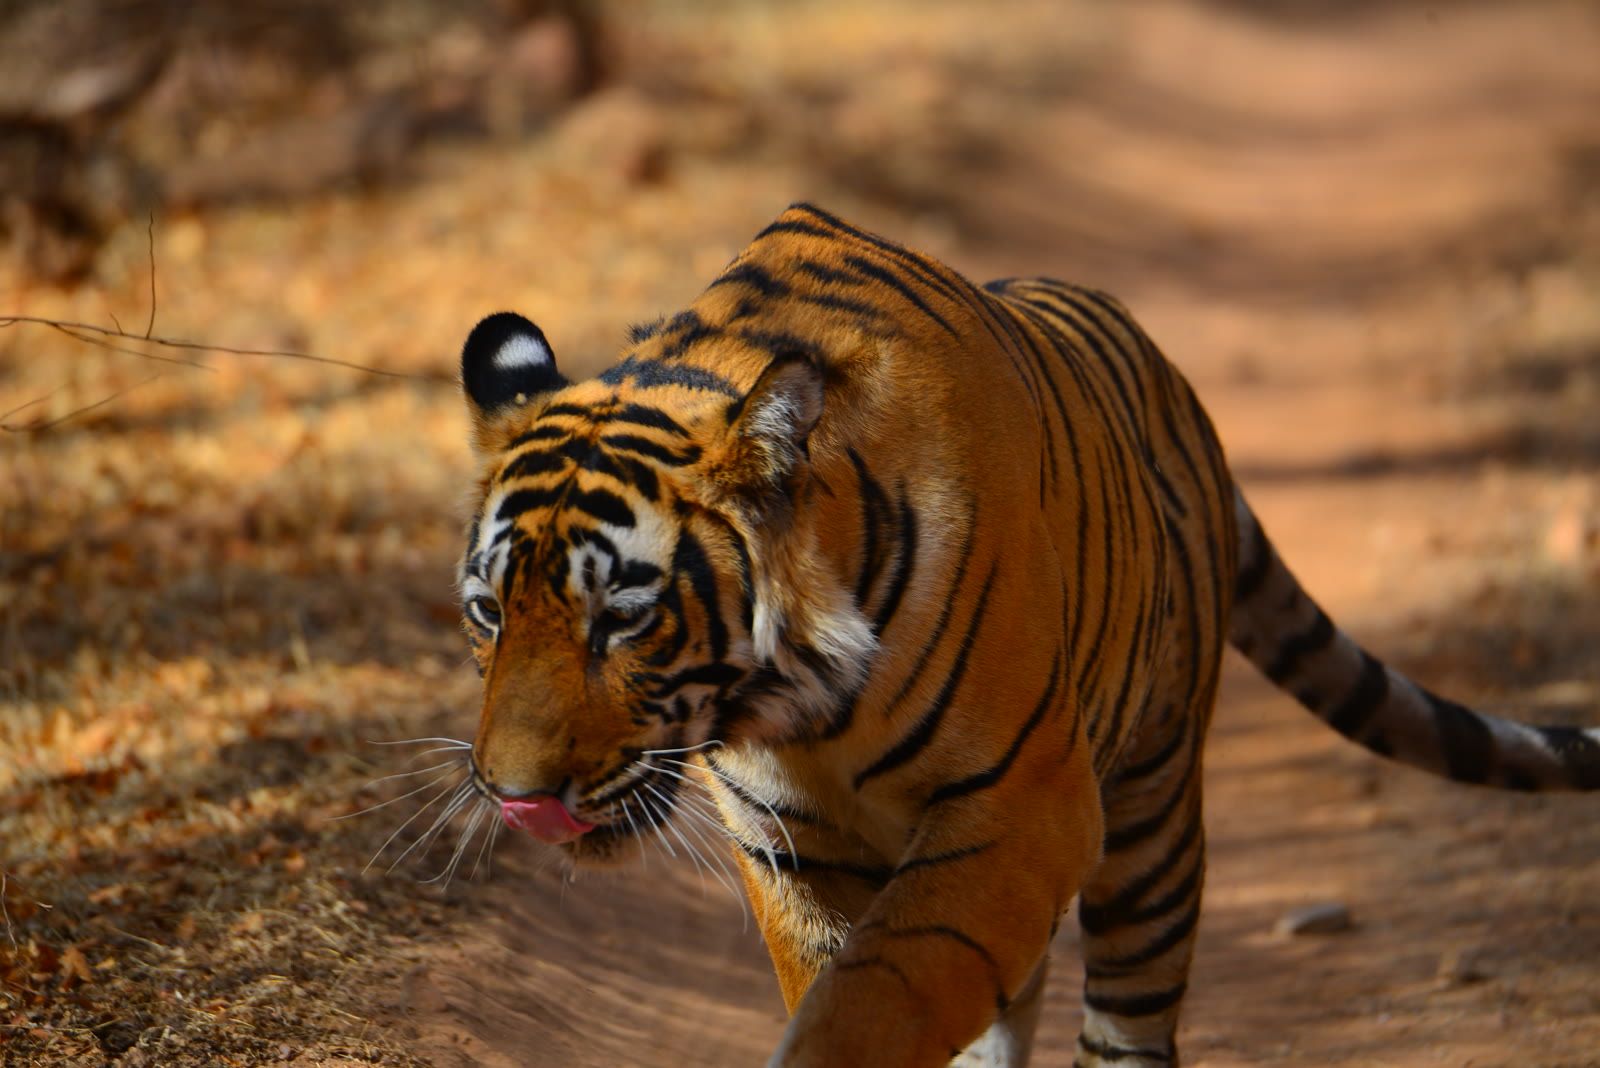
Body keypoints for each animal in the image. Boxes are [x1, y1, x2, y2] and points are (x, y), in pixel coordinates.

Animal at [452, 202, 1600, 1068]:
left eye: (623, 620)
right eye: (488, 614)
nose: (512, 796)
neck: (796, 711)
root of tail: (1177, 388)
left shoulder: (1024, 813)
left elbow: (872, 1006)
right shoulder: (790, 845)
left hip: (1149, 812)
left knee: (1129, 1022)